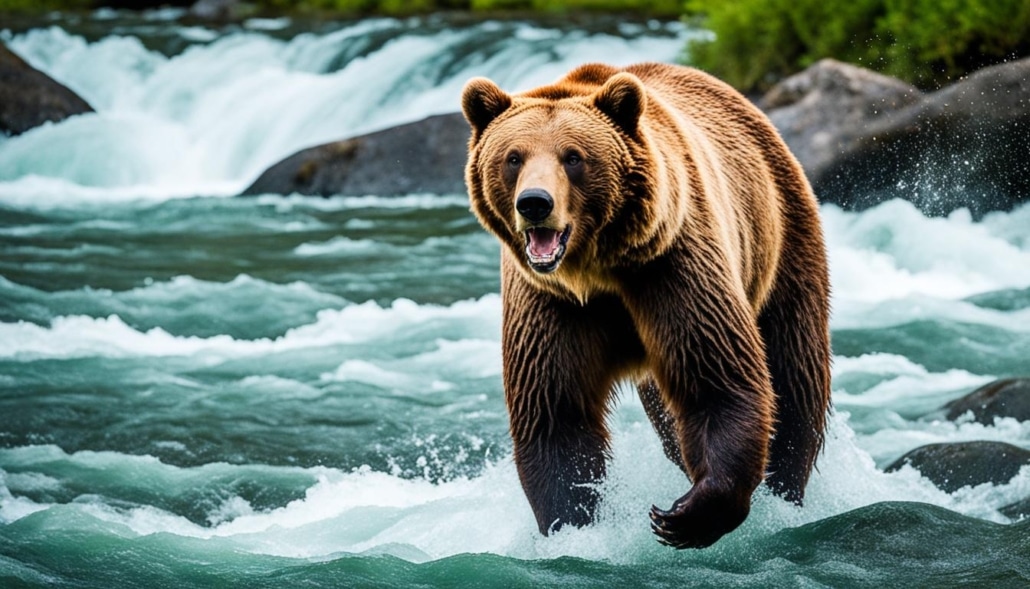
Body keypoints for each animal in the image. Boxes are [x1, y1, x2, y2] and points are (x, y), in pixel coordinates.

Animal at [461, 62, 831, 549]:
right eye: (513, 157)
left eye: (573, 157)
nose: (535, 203)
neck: (597, 270)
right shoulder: (548, 302)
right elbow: (556, 417)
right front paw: (573, 526)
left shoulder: (672, 264)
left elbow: (720, 381)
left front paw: (686, 516)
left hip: (782, 235)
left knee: (794, 374)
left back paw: (786, 488)